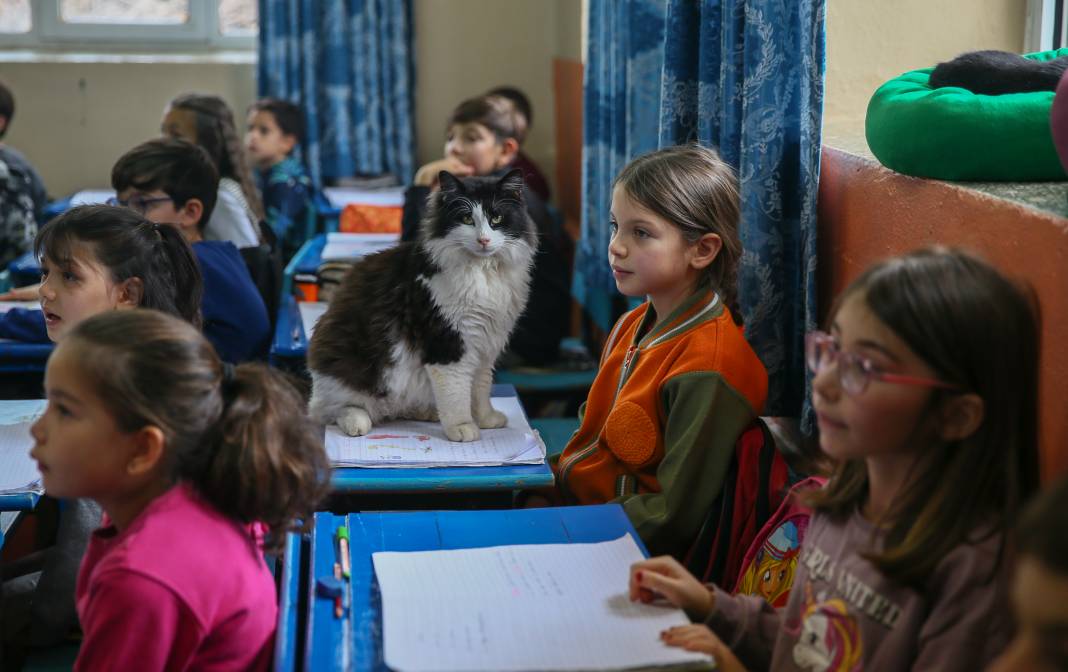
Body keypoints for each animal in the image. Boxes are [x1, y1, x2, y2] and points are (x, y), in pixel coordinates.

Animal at [307, 167, 538, 440]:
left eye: (497, 218)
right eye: (467, 219)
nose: (483, 240)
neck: (484, 271)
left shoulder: (485, 346)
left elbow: (481, 390)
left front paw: (485, 419)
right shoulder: (449, 344)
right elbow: (457, 395)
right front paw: (462, 428)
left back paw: (426, 413)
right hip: (347, 377)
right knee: (336, 410)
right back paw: (357, 422)